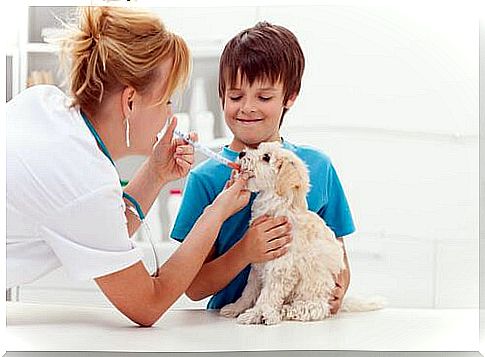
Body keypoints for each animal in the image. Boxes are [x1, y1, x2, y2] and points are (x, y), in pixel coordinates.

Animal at [219, 141, 382, 322]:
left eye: (266, 157)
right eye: (258, 148)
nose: (241, 153)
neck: (278, 204)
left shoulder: (281, 267)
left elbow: (267, 295)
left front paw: (255, 314)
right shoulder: (258, 264)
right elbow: (249, 290)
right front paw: (236, 308)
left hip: (312, 296)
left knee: (313, 309)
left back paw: (284, 310)